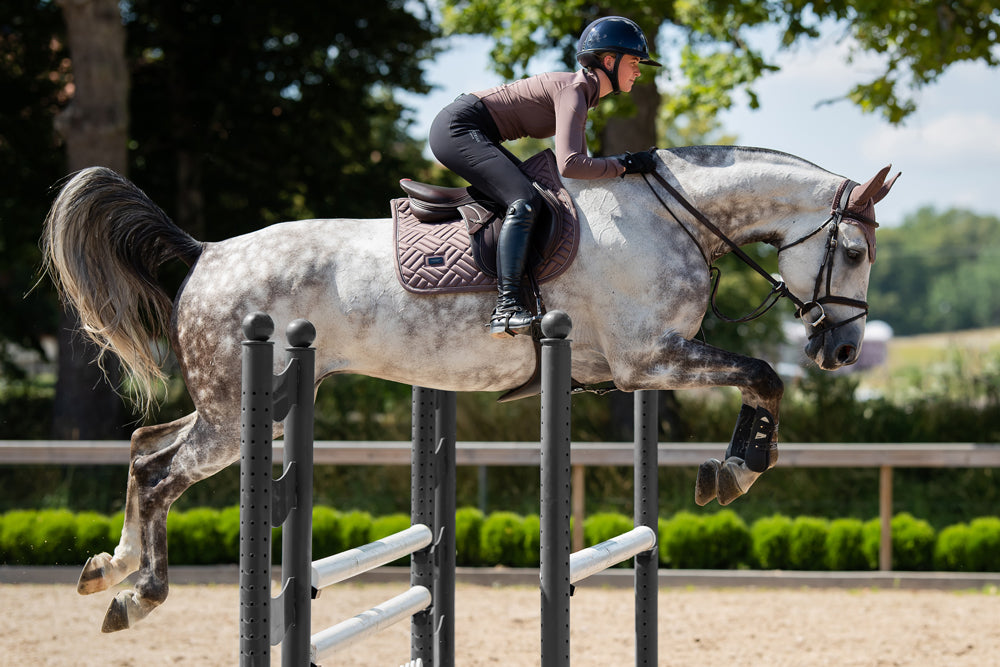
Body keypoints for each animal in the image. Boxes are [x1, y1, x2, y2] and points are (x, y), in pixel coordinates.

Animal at [39, 146, 900, 632]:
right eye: (855, 251)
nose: (842, 349)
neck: (675, 218)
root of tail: (206, 252)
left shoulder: (650, 362)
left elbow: (759, 381)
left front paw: (733, 466)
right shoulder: (648, 359)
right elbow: (764, 376)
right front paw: (735, 470)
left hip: (231, 406)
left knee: (144, 445)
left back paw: (108, 566)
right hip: (236, 415)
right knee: (162, 471)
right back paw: (139, 591)